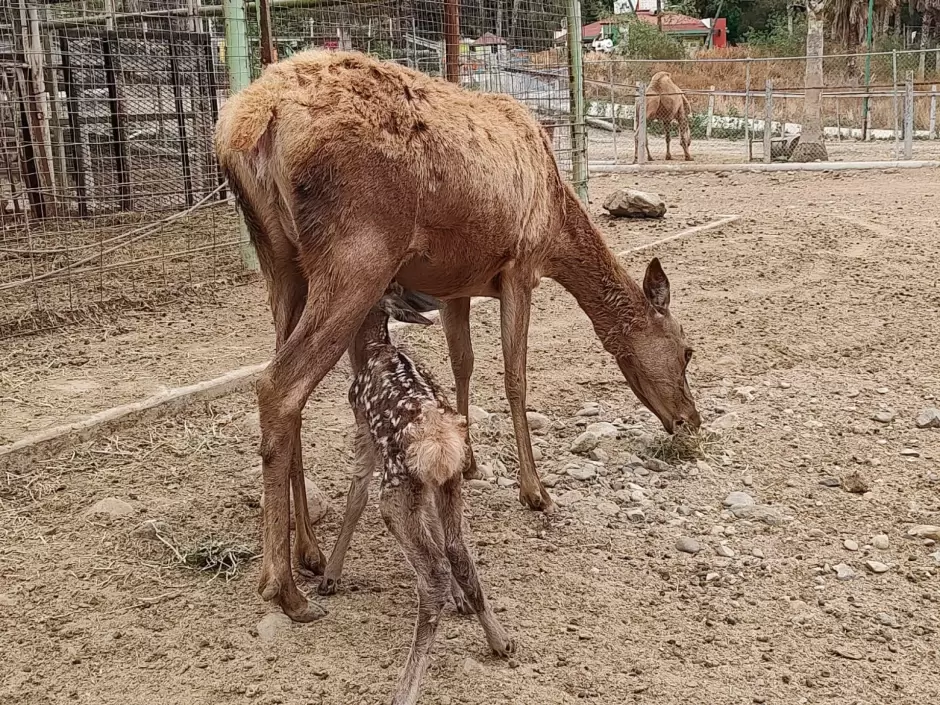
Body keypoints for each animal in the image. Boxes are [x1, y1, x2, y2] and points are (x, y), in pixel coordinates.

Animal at [213, 51, 696, 620]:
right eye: (687, 351)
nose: (690, 420)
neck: (558, 221)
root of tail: (246, 126)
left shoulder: (456, 286)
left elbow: (462, 363)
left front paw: (469, 463)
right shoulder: (520, 266)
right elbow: (514, 378)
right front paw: (535, 490)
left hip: (281, 261)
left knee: (287, 389)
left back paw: (309, 550)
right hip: (357, 254)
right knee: (279, 385)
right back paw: (284, 588)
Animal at [338, 286, 516, 704]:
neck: (373, 348)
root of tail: (437, 439)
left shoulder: (361, 429)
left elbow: (355, 495)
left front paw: (329, 576)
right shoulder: (434, 485)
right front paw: (462, 601)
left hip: (396, 490)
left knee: (433, 572)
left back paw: (404, 690)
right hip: (448, 481)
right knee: (457, 550)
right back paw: (501, 641)